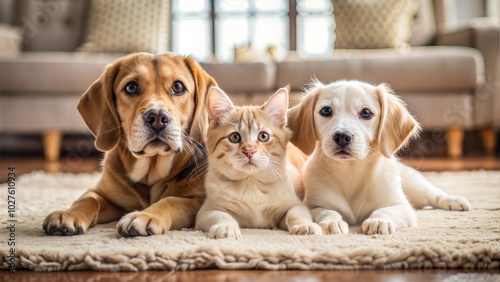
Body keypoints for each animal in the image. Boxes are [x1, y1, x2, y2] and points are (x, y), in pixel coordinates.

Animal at [42, 52, 215, 236]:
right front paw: (68, 213)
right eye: (131, 87)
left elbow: (171, 201)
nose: (158, 117)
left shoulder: (197, 202)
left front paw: (145, 215)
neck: (150, 172)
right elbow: (88, 199)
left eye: (178, 87)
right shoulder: (107, 195)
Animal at [195, 87, 320, 239]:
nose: (249, 151)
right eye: (234, 137)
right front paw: (225, 227)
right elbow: (222, 216)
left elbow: (294, 214)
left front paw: (305, 225)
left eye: (263, 136)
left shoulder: (296, 205)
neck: (251, 183)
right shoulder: (206, 211)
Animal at [288, 80, 470, 235]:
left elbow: (385, 210)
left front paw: (378, 221)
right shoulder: (312, 204)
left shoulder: (403, 207)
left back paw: (454, 200)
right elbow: (326, 210)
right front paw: (332, 222)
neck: (350, 172)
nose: (342, 136)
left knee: (434, 194)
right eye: (326, 111)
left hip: (416, 186)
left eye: (366, 113)